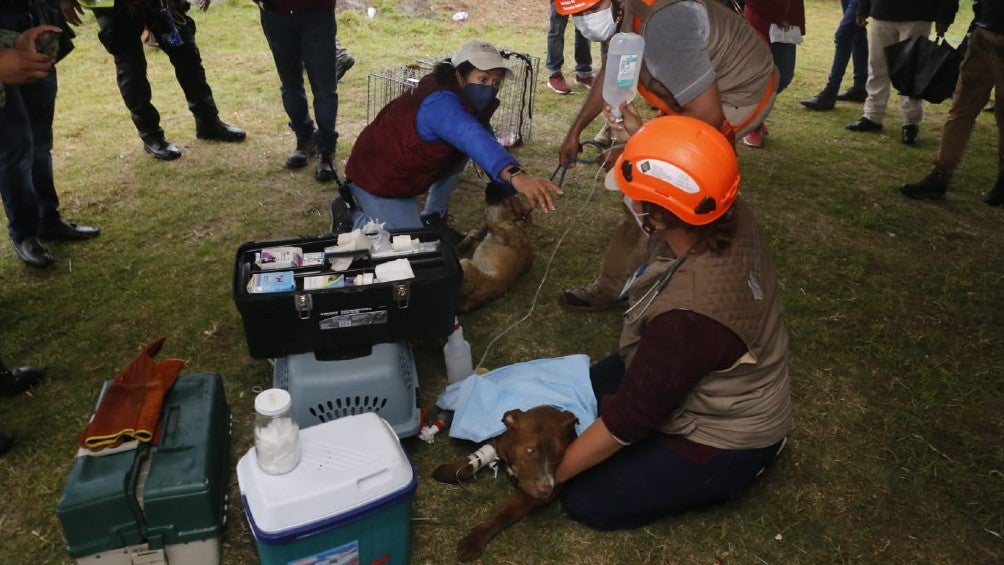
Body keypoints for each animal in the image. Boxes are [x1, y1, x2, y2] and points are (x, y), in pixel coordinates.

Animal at [427, 407, 578, 561]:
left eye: (558, 455)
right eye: (530, 450)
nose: (546, 489)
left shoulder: (528, 496)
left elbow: (503, 515)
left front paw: (476, 539)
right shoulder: (499, 443)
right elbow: (470, 463)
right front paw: (450, 471)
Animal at [455, 183, 534, 313]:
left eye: (502, 198)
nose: (490, 183)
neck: (507, 219)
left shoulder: (506, 234)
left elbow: (490, 224)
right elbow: (477, 231)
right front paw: (466, 241)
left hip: (465, 264)